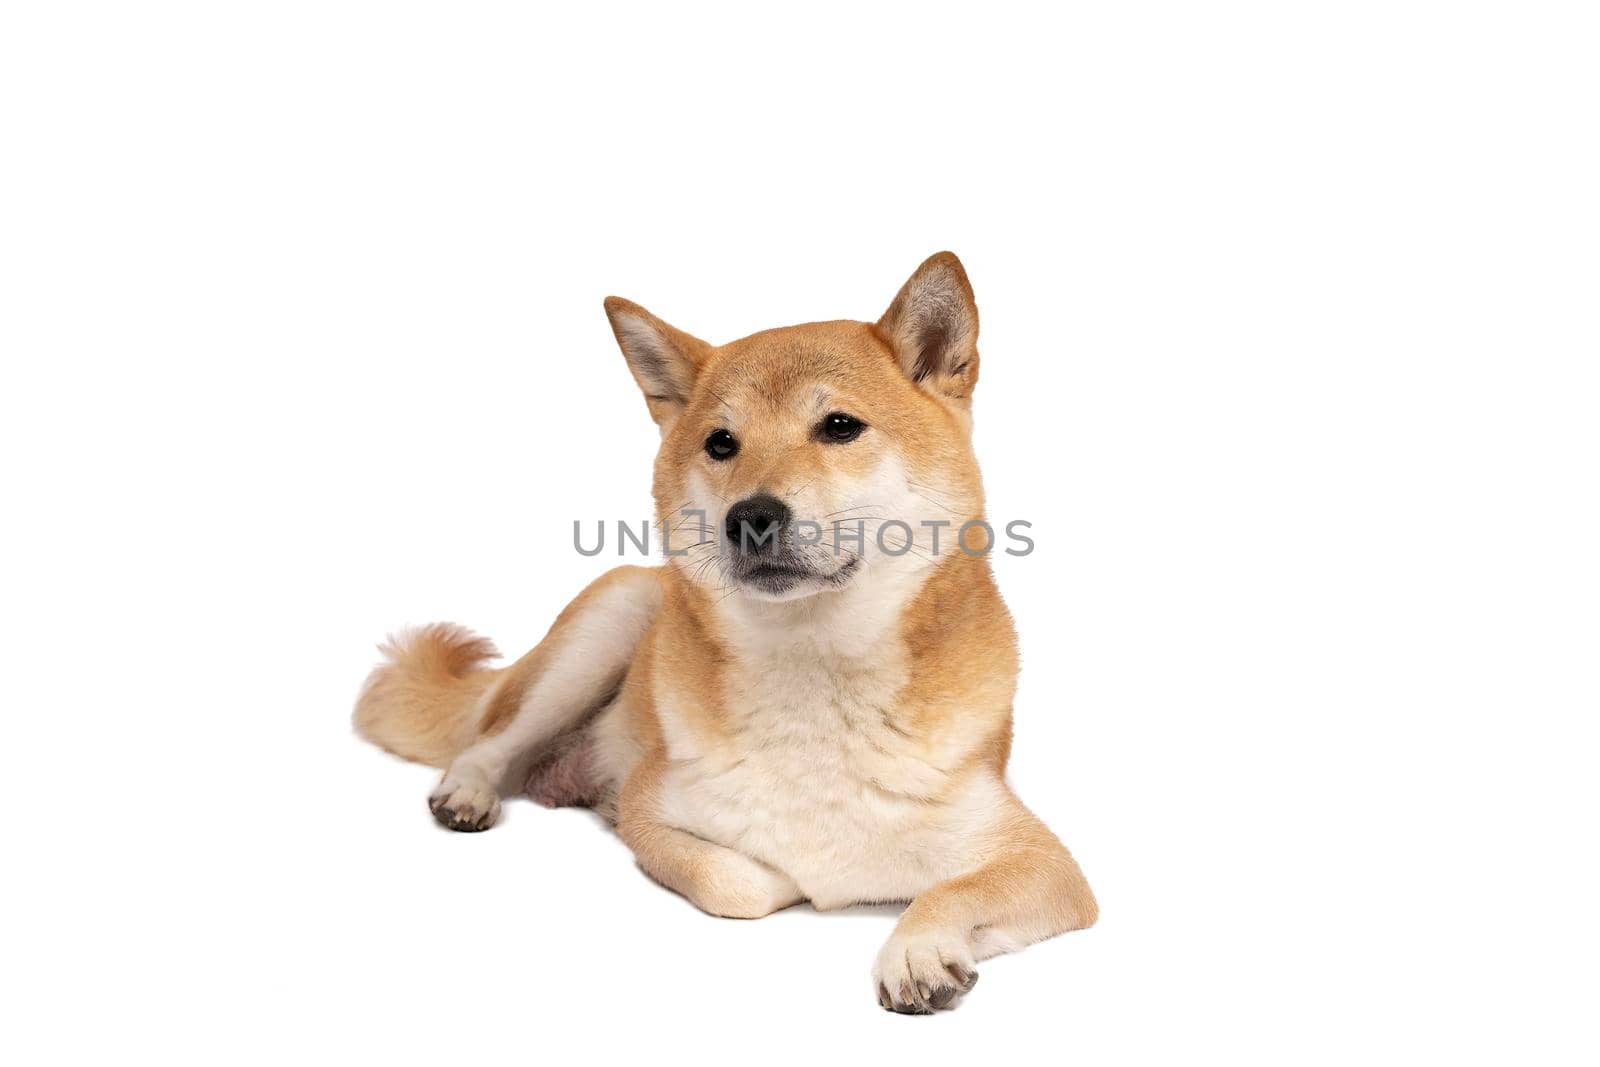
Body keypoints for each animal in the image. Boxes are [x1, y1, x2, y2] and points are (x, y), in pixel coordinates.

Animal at [355, 254, 1094, 1017]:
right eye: (721, 443)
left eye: (839, 426)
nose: (752, 516)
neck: (814, 676)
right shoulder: (650, 807)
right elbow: (741, 881)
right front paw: (794, 882)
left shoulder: (1045, 863)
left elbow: (950, 891)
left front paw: (916, 950)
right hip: (610, 621)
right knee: (490, 739)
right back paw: (468, 793)